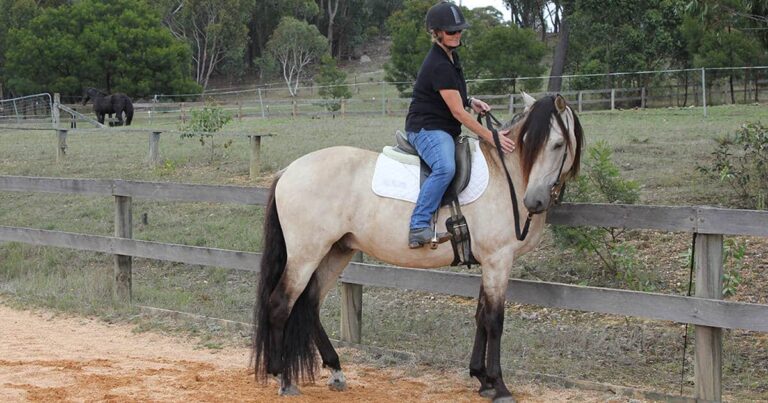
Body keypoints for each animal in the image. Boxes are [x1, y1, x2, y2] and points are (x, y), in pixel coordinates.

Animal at [252, 93, 584, 402]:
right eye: (536, 142)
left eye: (557, 144)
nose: (534, 201)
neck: (507, 177)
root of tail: (288, 171)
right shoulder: (498, 260)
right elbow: (494, 320)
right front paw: (498, 385)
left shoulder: (489, 263)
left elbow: (480, 315)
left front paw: (481, 378)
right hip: (306, 255)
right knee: (281, 303)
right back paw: (283, 377)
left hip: (337, 251)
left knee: (309, 305)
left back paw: (335, 369)